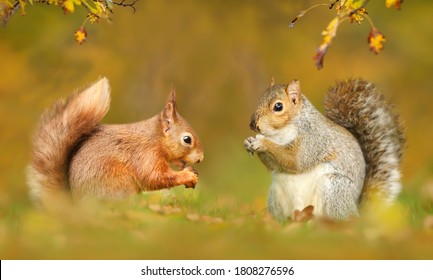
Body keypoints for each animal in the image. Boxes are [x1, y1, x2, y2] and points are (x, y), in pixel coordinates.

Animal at [26, 77, 203, 208]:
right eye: (187, 139)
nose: (201, 158)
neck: (155, 138)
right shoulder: (145, 154)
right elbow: (154, 177)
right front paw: (187, 176)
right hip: (118, 185)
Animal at [245, 77, 404, 220]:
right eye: (260, 98)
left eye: (278, 107)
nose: (253, 124)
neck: (279, 134)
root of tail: (357, 214)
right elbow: (275, 166)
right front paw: (249, 142)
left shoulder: (313, 139)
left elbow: (295, 160)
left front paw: (262, 143)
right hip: (275, 196)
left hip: (334, 189)